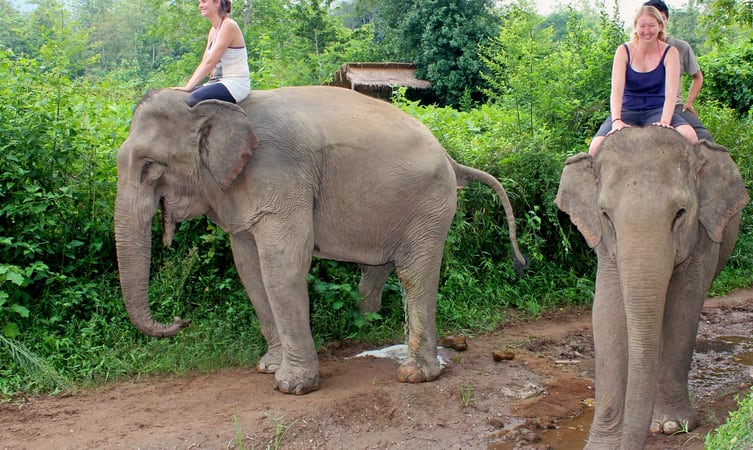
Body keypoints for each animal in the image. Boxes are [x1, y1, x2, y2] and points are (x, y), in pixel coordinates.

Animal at [114, 84, 524, 394]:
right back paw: (374, 332)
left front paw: (292, 387)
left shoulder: (281, 176)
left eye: (150, 167)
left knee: (415, 275)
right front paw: (268, 367)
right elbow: (249, 270)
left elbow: (282, 267)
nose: (180, 319)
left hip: (431, 206)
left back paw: (414, 374)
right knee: (378, 269)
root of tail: (451, 158)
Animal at [552, 127, 748, 450]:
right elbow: (607, 313)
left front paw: (672, 426)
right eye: (605, 215)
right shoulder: (605, 244)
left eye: (680, 213)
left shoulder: (703, 236)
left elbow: (684, 306)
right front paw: (602, 443)